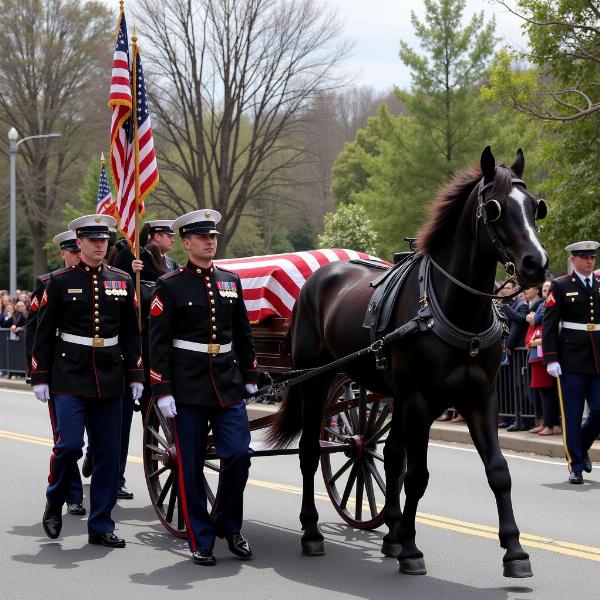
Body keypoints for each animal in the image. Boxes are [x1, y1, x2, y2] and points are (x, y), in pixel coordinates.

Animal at [268, 146, 548, 576]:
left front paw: (515, 552)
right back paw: (313, 532)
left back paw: (391, 535)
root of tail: (316, 279)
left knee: (387, 456)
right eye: (495, 209)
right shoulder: (420, 401)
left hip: (388, 396)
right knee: (311, 453)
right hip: (315, 382)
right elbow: (417, 475)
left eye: (535, 206)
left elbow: (498, 471)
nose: (537, 263)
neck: (455, 309)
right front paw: (412, 549)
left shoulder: (481, 399)